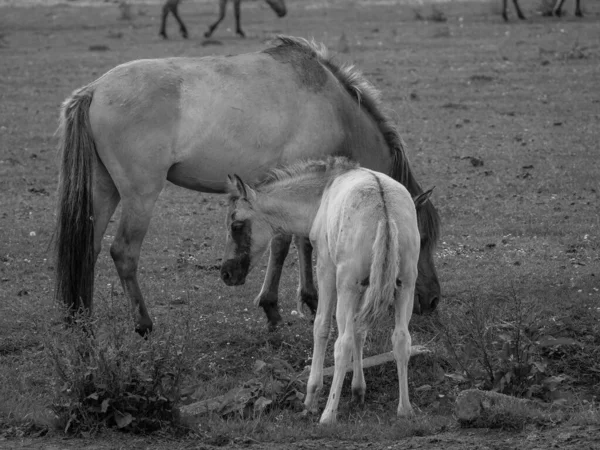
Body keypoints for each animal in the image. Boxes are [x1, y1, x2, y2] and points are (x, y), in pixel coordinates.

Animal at [55, 37, 440, 336]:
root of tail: (94, 90)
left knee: (88, 248)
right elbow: (291, 243)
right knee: (123, 252)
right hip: (140, 196)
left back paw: (82, 322)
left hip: (104, 190)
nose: (433, 298)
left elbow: (298, 242)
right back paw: (144, 324)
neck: (332, 106)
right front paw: (285, 306)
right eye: (420, 240)